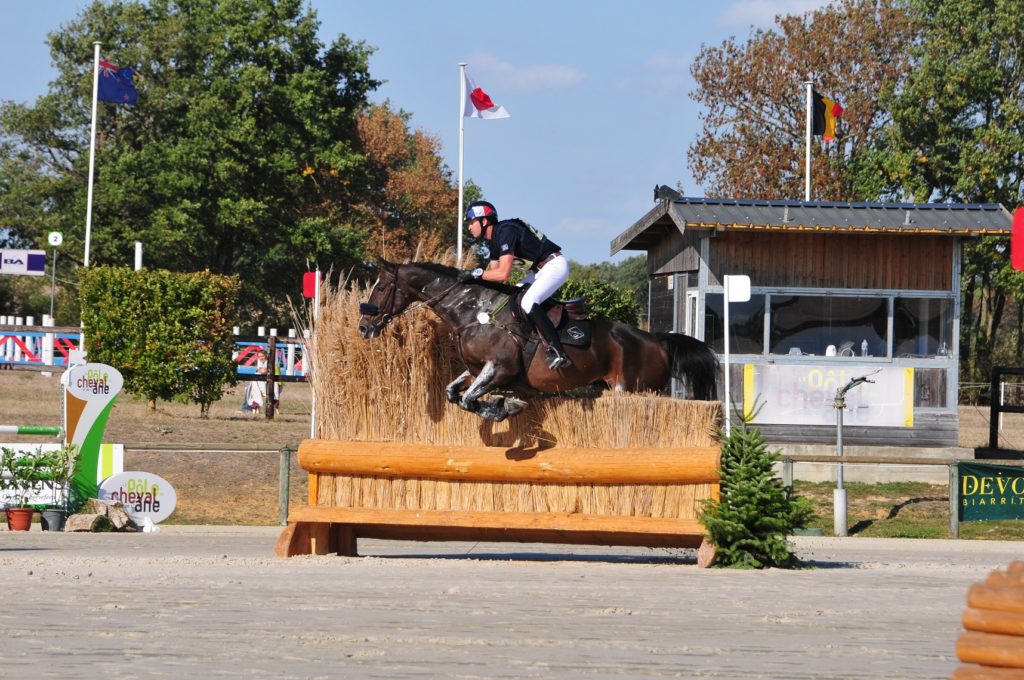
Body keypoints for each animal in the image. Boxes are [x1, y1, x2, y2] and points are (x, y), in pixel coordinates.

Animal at [360, 260, 720, 419]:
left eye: (381, 287)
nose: (364, 326)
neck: (474, 311)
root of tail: (656, 339)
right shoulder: (478, 369)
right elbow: (453, 393)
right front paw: (500, 405)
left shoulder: (500, 369)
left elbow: (467, 400)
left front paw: (504, 408)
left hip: (633, 388)